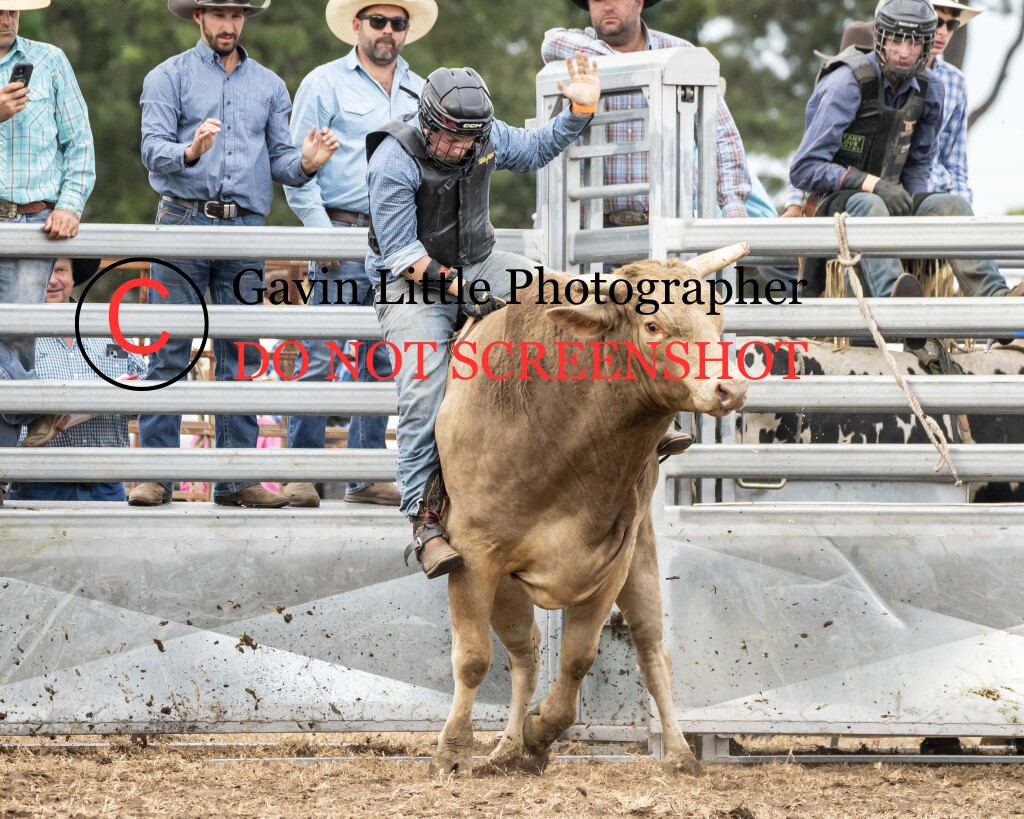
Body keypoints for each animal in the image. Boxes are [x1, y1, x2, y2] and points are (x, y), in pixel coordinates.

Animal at [429, 244, 750, 777]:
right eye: (652, 324)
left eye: (716, 316)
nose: (730, 389)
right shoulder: (474, 556)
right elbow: (472, 658)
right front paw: (454, 753)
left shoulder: (612, 561)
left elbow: (578, 657)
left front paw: (542, 730)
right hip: (505, 588)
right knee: (525, 653)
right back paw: (506, 748)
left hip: (642, 555)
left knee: (651, 650)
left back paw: (678, 752)